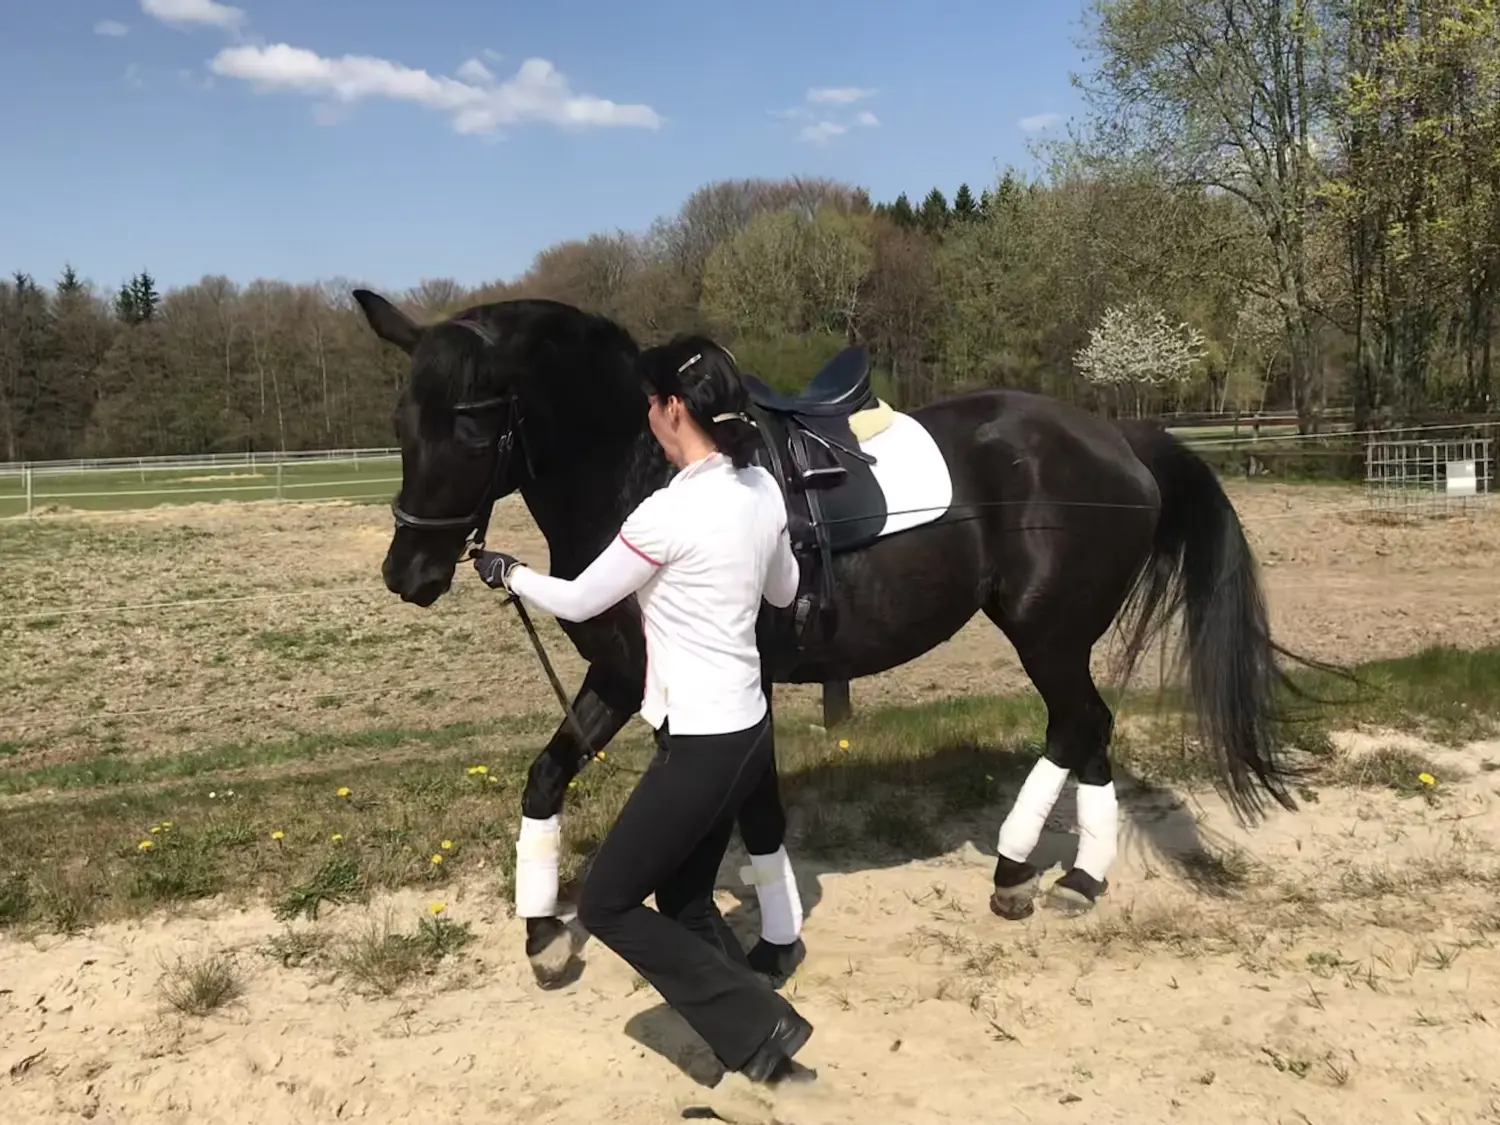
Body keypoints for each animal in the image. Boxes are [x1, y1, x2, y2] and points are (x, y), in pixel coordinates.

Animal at [351, 288, 1314, 984]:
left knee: (1079, 725)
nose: (408, 569)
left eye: (468, 424)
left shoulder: (734, 691)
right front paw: (545, 932)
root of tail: (1116, 435)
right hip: (1056, 639)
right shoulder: (626, 680)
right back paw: (1074, 875)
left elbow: (755, 815)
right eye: (398, 425)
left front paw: (768, 944)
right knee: (1090, 729)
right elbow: (547, 780)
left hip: (1047, 633)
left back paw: (1023, 870)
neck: (646, 470)